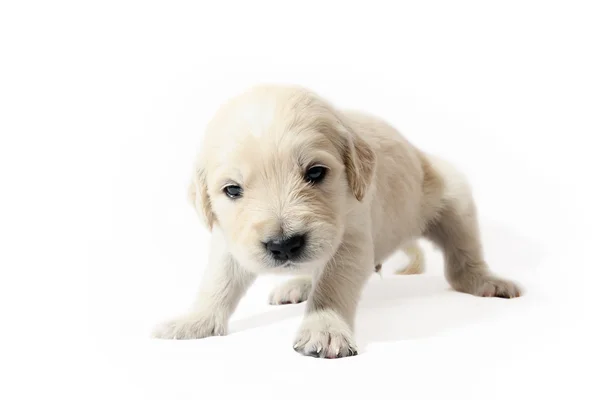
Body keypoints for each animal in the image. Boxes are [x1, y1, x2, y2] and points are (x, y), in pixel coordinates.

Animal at [152, 84, 524, 360]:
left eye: (316, 172)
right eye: (232, 190)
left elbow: (332, 283)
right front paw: (195, 321)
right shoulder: (231, 238)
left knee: (463, 257)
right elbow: (218, 280)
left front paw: (324, 328)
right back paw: (298, 284)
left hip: (454, 197)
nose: (284, 245)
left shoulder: (353, 235)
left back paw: (487, 281)